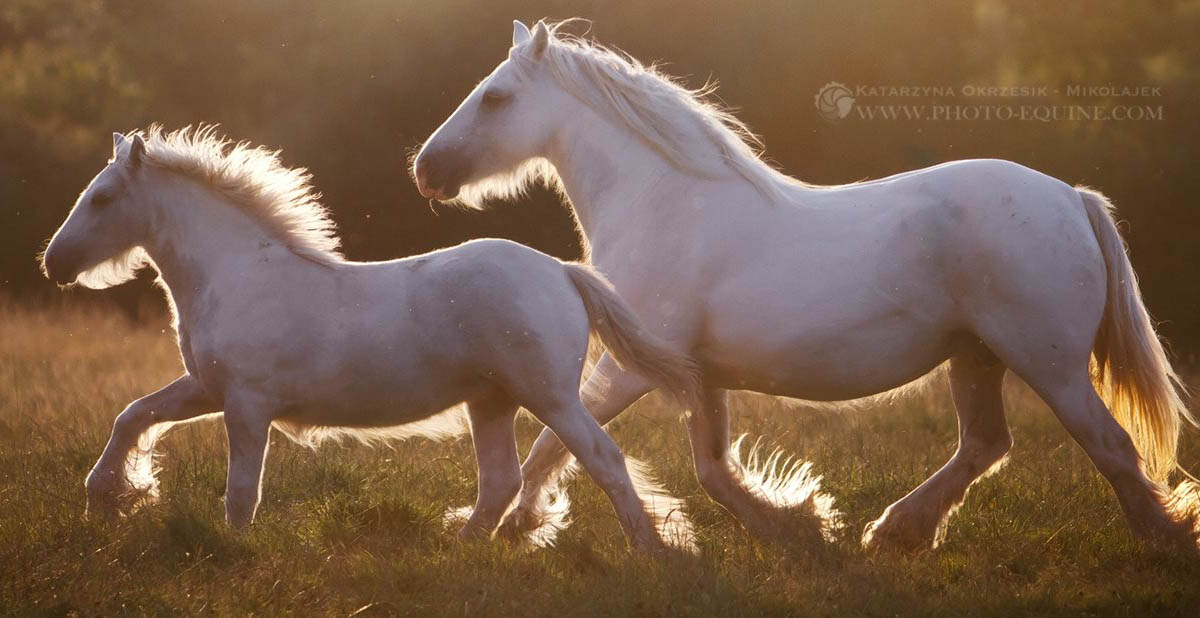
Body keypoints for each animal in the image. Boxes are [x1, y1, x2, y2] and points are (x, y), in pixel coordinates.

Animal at [42, 127, 700, 552]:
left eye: (103, 197)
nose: (55, 262)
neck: (235, 274)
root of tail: (563, 270)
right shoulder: (206, 389)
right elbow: (133, 415)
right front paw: (104, 501)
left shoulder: (247, 405)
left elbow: (240, 492)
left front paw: (234, 551)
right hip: (490, 401)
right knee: (500, 483)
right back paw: (460, 551)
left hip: (549, 396)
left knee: (602, 459)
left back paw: (651, 552)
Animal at [408, 19, 1195, 554]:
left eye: (496, 97)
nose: (426, 171)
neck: (666, 204)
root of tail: (1071, 197)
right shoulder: (698, 375)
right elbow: (712, 468)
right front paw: (796, 523)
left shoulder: (633, 363)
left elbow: (559, 441)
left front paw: (516, 526)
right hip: (977, 358)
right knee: (986, 445)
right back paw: (895, 532)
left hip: (1049, 364)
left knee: (1109, 446)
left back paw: (1162, 540)